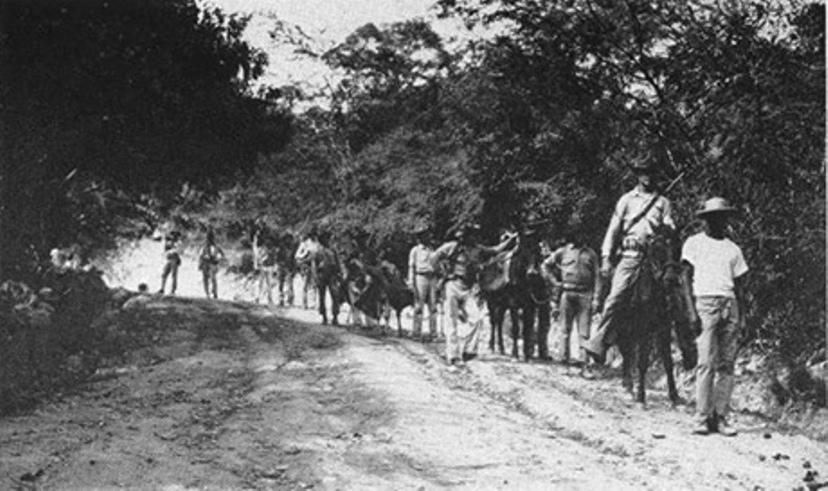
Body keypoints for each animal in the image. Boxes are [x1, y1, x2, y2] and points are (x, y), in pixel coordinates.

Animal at [616, 225, 696, 406]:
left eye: (673, 249)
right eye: (653, 253)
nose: (669, 277)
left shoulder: (663, 327)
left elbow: (667, 361)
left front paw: (674, 396)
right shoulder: (644, 328)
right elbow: (642, 361)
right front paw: (641, 396)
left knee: (628, 351)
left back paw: (628, 384)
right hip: (624, 326)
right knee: (626, 350)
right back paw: (628, 385)